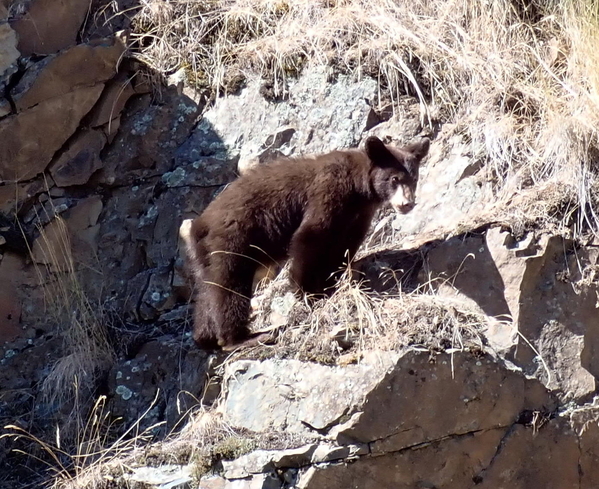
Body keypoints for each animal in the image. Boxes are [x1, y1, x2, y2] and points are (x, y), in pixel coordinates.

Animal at [180, 133, 428, 348]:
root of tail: (199, 225)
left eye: (414, 178)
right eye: (395, 179)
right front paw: (307, 293)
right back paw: (239, 338)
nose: (408, 203)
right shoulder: (330, 192)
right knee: (229, 283)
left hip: (206, 256)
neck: (359, 188)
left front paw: (331, 284)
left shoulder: (358, 216)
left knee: (207, 291)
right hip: (231, 241)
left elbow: (343, 247)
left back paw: (205, 338)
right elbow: (310, 237)